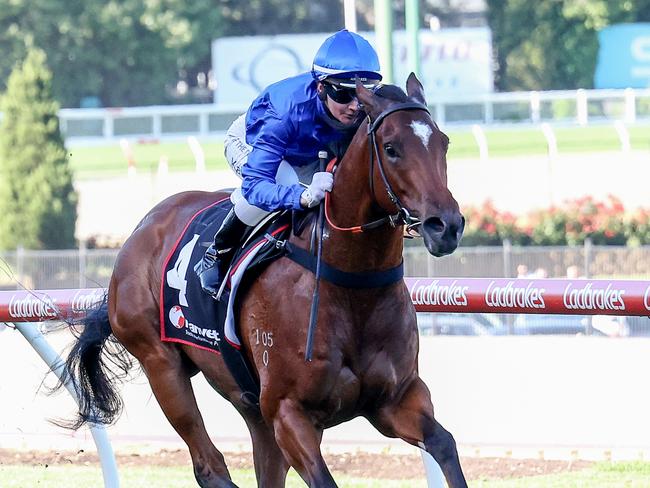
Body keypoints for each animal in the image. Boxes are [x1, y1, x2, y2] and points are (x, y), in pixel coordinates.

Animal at [60, 73, 466, 488]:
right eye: (391, 148)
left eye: (444, 142)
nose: (446, 225)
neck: (352, 288)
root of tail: (141, 230)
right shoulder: (289, 412)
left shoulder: (395, 399)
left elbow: (445, 443)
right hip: (161, 364)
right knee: (209, 464)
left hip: (248, 401)